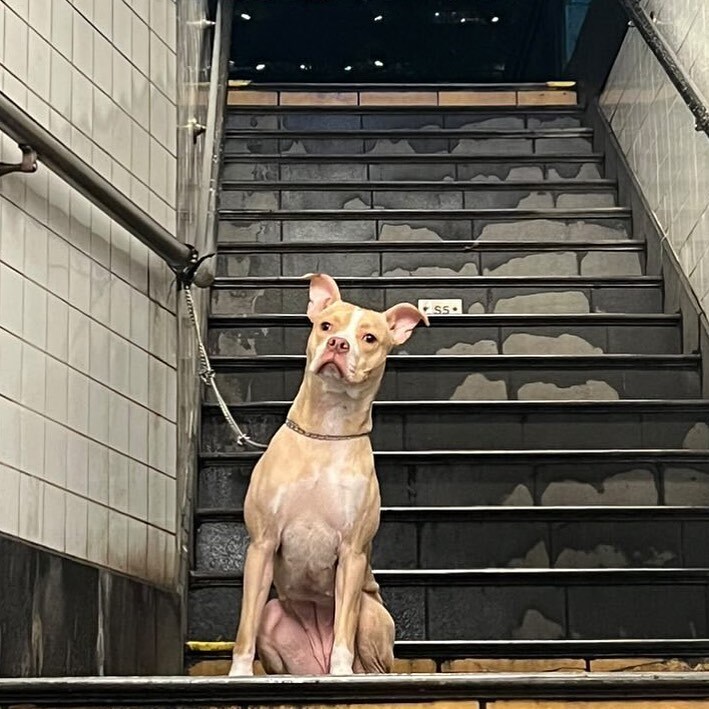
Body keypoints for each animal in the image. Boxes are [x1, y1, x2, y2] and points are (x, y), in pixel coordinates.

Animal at [228, 272, 426, 676]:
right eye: (326, 326)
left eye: (370, 338)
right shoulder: (262, 544)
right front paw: (238, 673)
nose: (338, 343)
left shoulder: (352, 553)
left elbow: (343, 630)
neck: (328, 429)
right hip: (275, 616)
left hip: (371, 616)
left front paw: (341, 672)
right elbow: (245, 625)